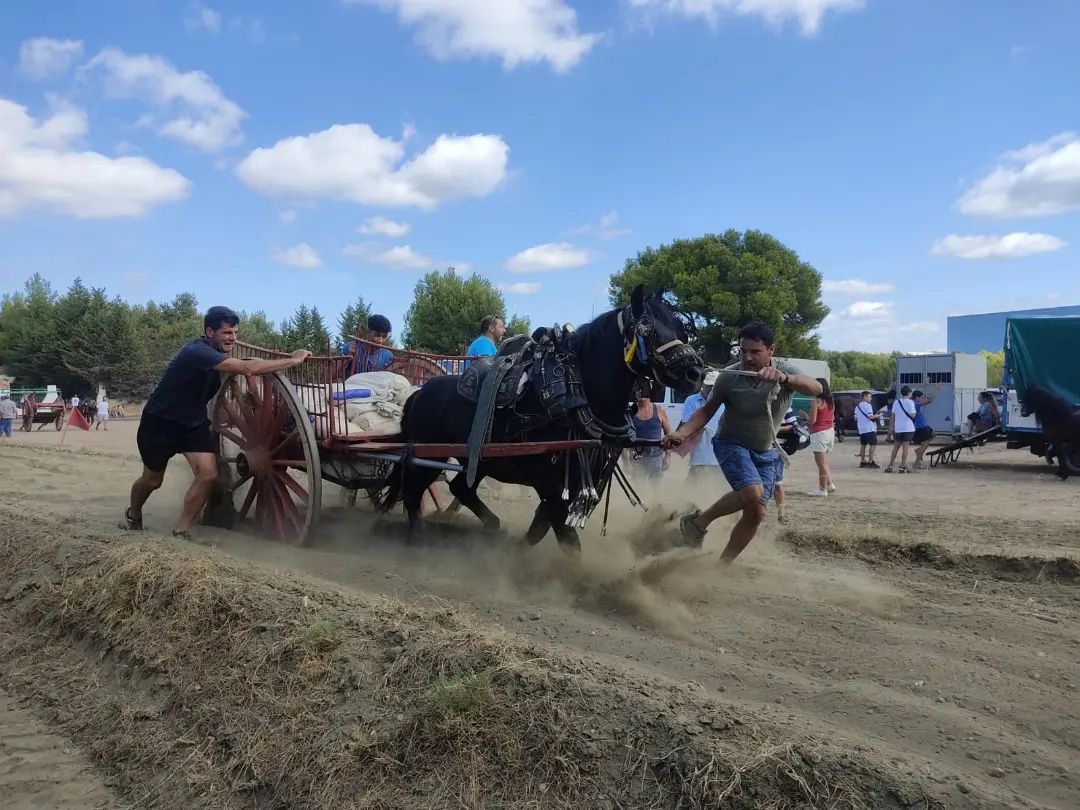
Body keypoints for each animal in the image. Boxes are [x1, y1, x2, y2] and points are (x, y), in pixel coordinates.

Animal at [384, 285, 704, 552]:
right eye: (647, 329)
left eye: (682, 329)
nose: (696, 372)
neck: (575, 394)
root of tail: (419, 393)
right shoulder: (550, 485)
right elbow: (566, 537)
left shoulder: (569, 485)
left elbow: (541, 528)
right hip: (426, 454)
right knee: (413, 491)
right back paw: (419, 537)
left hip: (477, 460)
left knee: (459, 487)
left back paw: (492, 526)